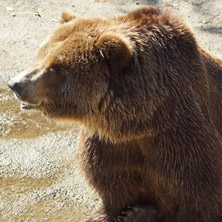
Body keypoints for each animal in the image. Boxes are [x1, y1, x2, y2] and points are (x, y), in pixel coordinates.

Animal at [6, 6, 222, 222]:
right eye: (41, 54)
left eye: (55, 67)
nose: (15, 84)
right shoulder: (108, 143)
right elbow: (111, 182)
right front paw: (124, 212)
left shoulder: (179, 135)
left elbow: (199, 191)